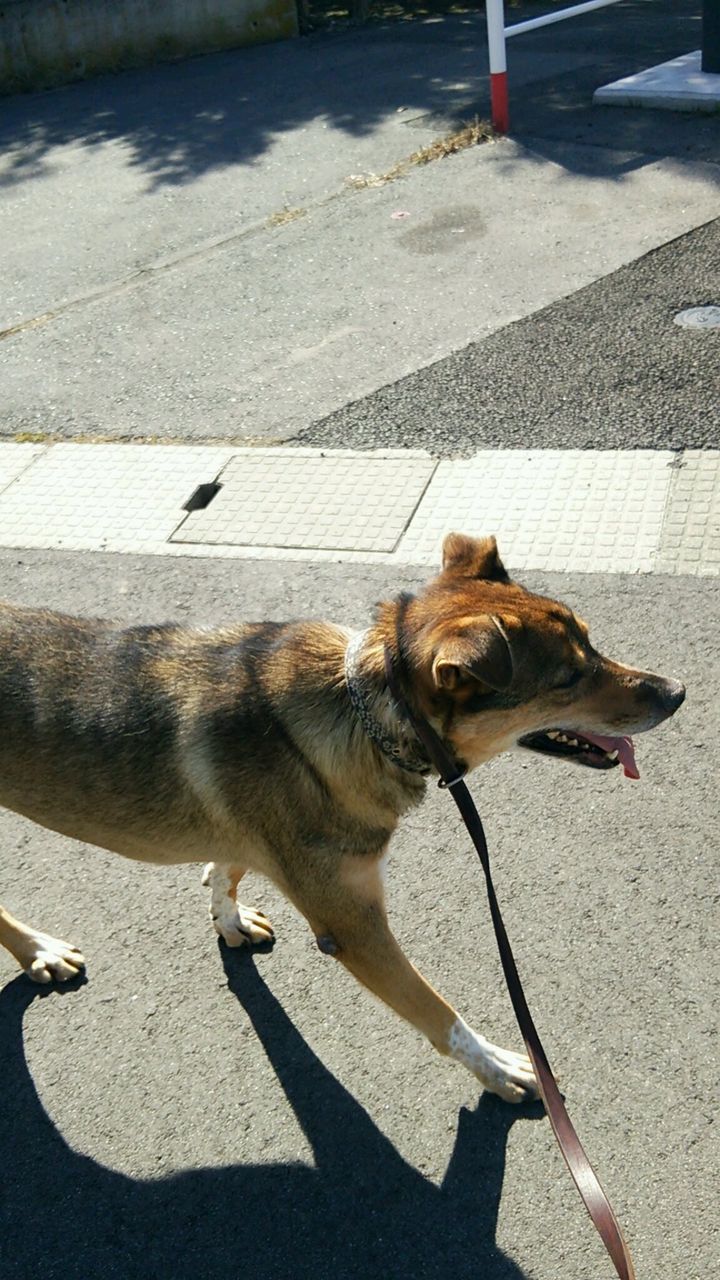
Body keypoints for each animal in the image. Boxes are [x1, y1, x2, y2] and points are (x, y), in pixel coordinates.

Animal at [0, 533, 684, 1102]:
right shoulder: (354, 924)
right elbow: (438, 1013)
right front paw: (498, 1067)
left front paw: (227, 916)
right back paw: (38, 950)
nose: (677, 693)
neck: (365, 713)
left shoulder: (258, 840)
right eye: (567, 678)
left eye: (591, 641)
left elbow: (226, 868)